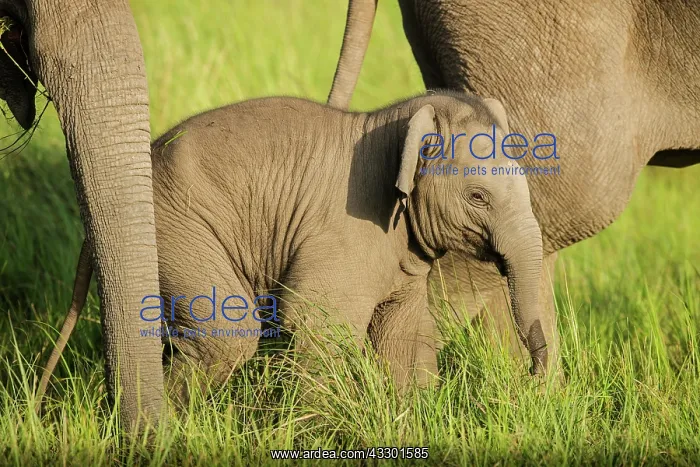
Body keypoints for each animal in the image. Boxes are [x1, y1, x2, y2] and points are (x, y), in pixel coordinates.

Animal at [37, 91, 549, 404]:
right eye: (478, 197)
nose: (534, 374)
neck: (391, 124)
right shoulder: (343, 234)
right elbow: (319, 324)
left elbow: (404, 336)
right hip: (176, 230)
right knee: (227, 333)